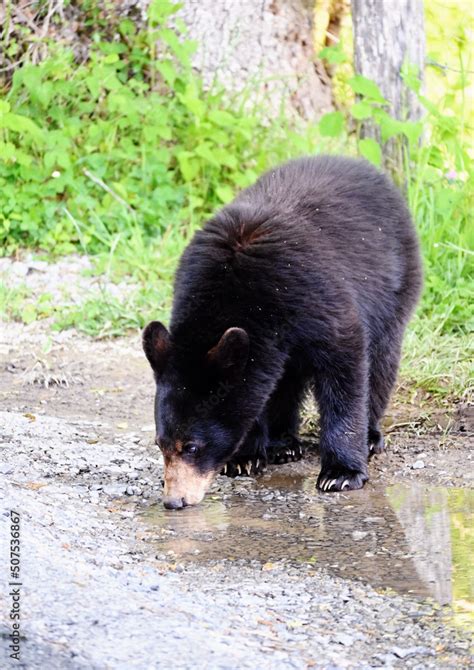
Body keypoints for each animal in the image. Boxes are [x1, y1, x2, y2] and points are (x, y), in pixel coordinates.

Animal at [142, 156, 422, 510]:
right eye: (159, 443)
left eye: (192, 446)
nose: (174, 501)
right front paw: (244, 457)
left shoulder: (312, 296)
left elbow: (344, 363)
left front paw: (341, 473)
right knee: (285, 379)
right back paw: (282, 443)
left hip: (394, 284)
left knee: (383, 357)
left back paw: (370, 436)